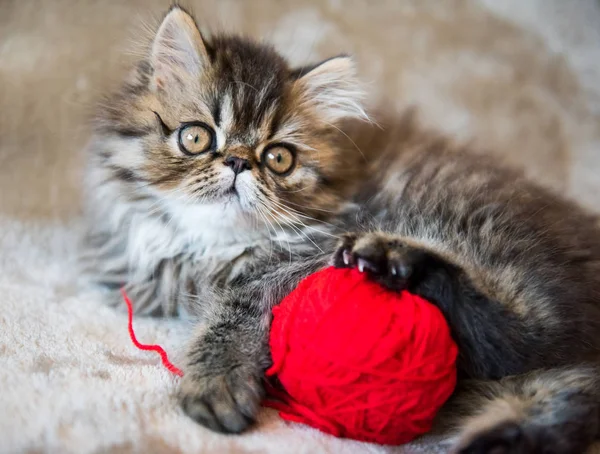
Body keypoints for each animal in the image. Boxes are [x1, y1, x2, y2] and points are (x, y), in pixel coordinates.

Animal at [82, 7, 600, 454]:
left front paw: (216, 384)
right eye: (196, 137)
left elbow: (232, 317)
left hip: (477, 232)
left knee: (522, 335)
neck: (211, 246)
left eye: (278, 158)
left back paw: (395, 263)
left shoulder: (299, 265)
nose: (239, 162)